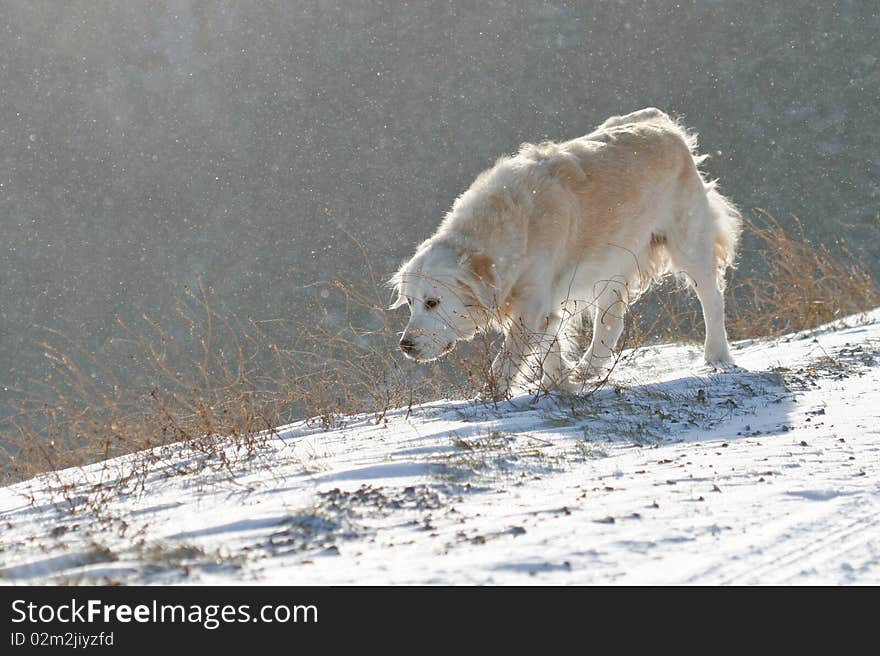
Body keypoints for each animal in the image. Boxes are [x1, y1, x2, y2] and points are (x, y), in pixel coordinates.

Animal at [388, 108, 740, 394]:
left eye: (433, 302)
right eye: (411, 303)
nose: (406, 346)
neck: (505, 229)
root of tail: (663, 124)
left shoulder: (531, 303)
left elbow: (508, 358)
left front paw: (489, 395)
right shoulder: (541, 302)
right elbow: (550, 345)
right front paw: (559, 383)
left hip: (688, 242)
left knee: (712, 297)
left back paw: (716, 356)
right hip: (611, 263)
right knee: (611, 322)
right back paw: (587, 369)